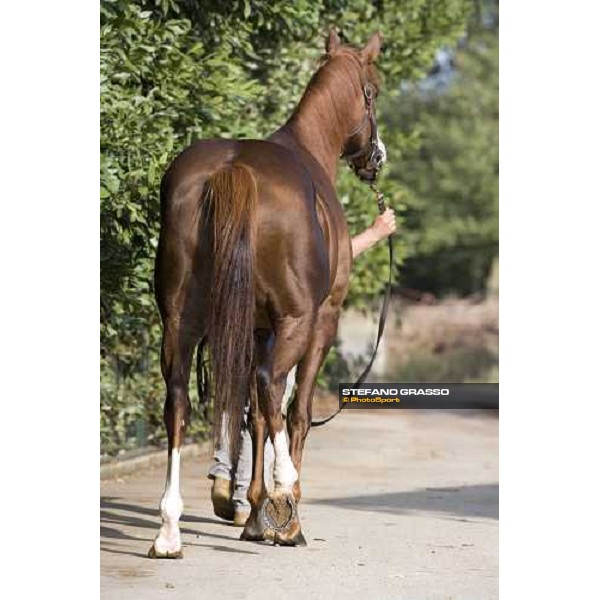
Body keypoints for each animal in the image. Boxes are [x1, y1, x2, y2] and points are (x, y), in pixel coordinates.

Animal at [149, 29, 384, 556]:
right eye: (373, 91)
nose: (376, 156)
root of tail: (231, 170)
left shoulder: (256, 329)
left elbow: (252, 416)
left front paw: (255, 514)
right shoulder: (321, 323)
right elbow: (294, 413)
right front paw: (279, 509)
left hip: (179, 320)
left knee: (180, 400)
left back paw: (170, 529)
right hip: (296, 323)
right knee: (271, 387)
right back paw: (287, 499)